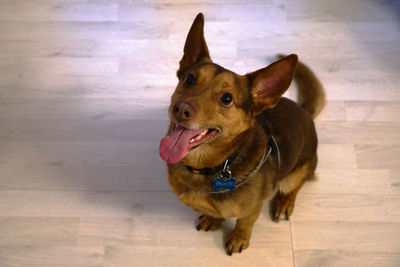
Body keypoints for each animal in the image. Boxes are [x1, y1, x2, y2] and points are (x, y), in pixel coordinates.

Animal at [159, 13, 324, 256]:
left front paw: (238, 239)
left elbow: (244, 223)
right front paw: (213, 219)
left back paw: (284, 203)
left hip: (295, 174)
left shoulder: (251, 210)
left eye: (227, 98)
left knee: (295, 186)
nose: (181, 109)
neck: (211, 167)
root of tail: (304, 111)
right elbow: (217, 213)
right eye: (189, 79)